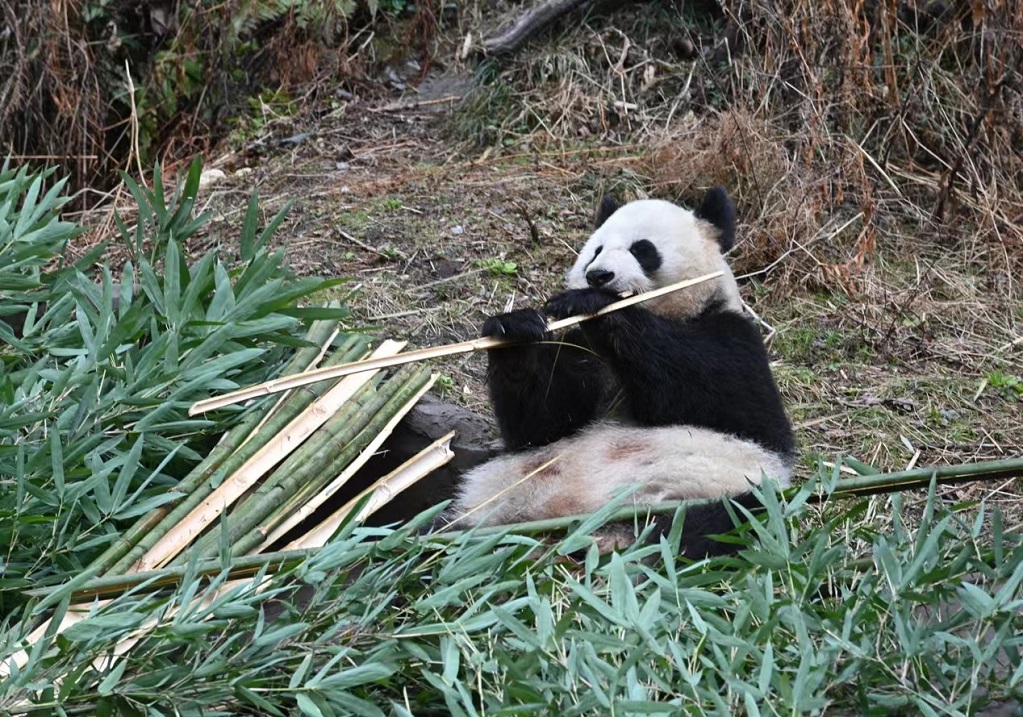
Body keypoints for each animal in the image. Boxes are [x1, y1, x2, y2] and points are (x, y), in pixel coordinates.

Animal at [442, 186, 796, 558]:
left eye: (642, 249)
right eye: (595, 250)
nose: (598, 276)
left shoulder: (734, 338)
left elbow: (718, 394)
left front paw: (593, 303)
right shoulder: (582, 350)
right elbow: (542, 425)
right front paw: (514, 329)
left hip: (722, 490)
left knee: (706, 525)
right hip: (490, 503)